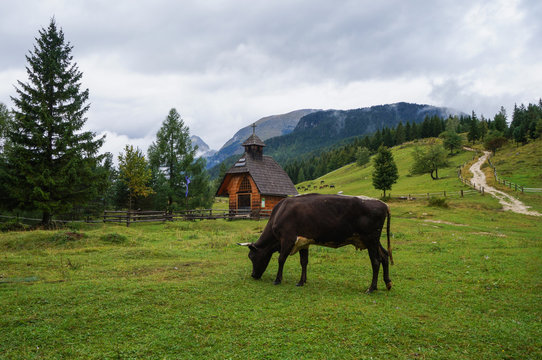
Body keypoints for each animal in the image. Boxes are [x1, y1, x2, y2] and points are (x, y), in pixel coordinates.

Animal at [238, 194, 396, 292]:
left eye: (251, 257)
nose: (253, 275)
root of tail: (383, 204)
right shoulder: (304, 242)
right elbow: (304, 262)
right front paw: (302, 281)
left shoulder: (287, 239)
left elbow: (281, 259)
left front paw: (277, 280)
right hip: (373, 240)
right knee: (384, 256)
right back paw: (387, 283)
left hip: (370, 239)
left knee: (375, 261)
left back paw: (371, 288)